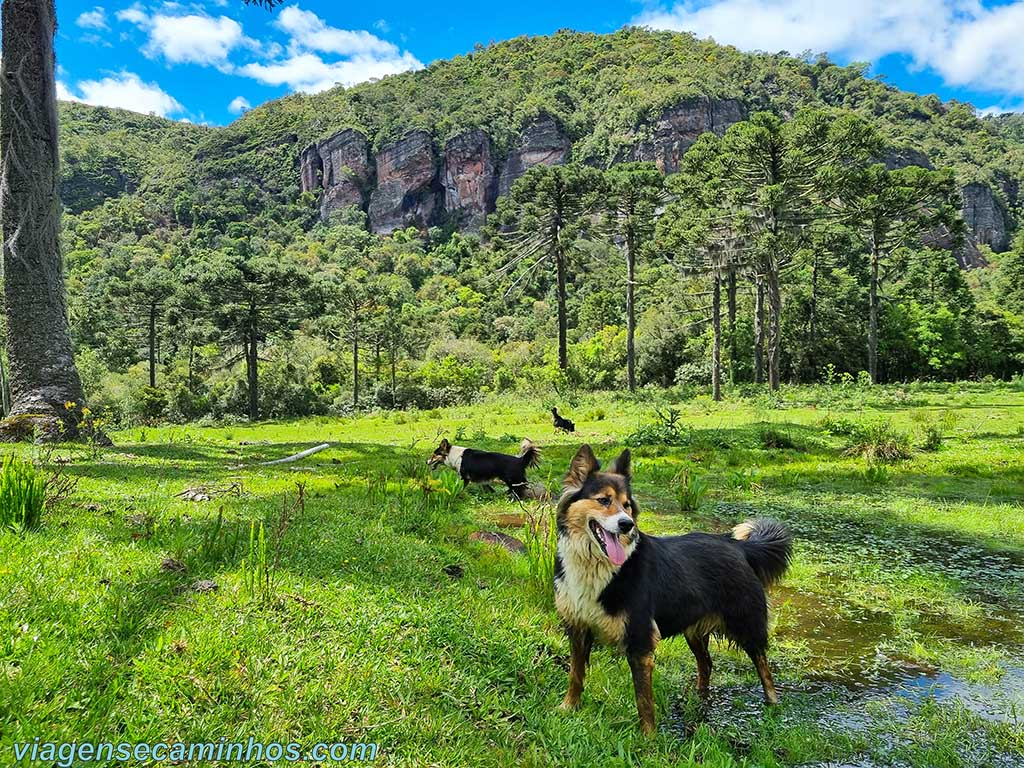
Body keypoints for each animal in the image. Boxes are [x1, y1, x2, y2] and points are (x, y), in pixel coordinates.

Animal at [557, 448, 794, 737]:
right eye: (603, 500)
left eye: (627, 505)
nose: (627, 525)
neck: (596, 565)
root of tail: (737, 546)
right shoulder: (578, 627)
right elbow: (575, 674)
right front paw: (569, 708)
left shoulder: (640, 639)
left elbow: (644, 699)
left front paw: (648, 737)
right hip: (694, 630)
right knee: (707, 664)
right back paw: (700, 698)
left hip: (746, 624)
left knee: (764, 667)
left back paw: (772, 704)